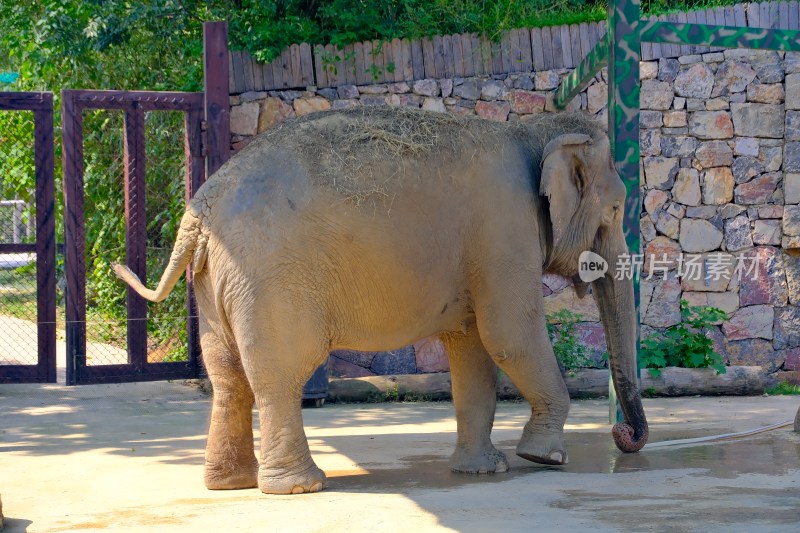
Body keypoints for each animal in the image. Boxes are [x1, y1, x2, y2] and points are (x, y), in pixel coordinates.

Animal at [115, 105, 648, 494]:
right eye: (616, 209)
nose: (626, 438)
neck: (534, 131)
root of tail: (198, 213)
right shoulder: (505, 230)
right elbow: (510, 336)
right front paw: (545, 457)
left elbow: (473, 350)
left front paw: (483, 471)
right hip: (270, 281)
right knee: (280, 374)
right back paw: (299, 487)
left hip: (214, 283)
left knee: (228, 377)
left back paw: (230, 484)